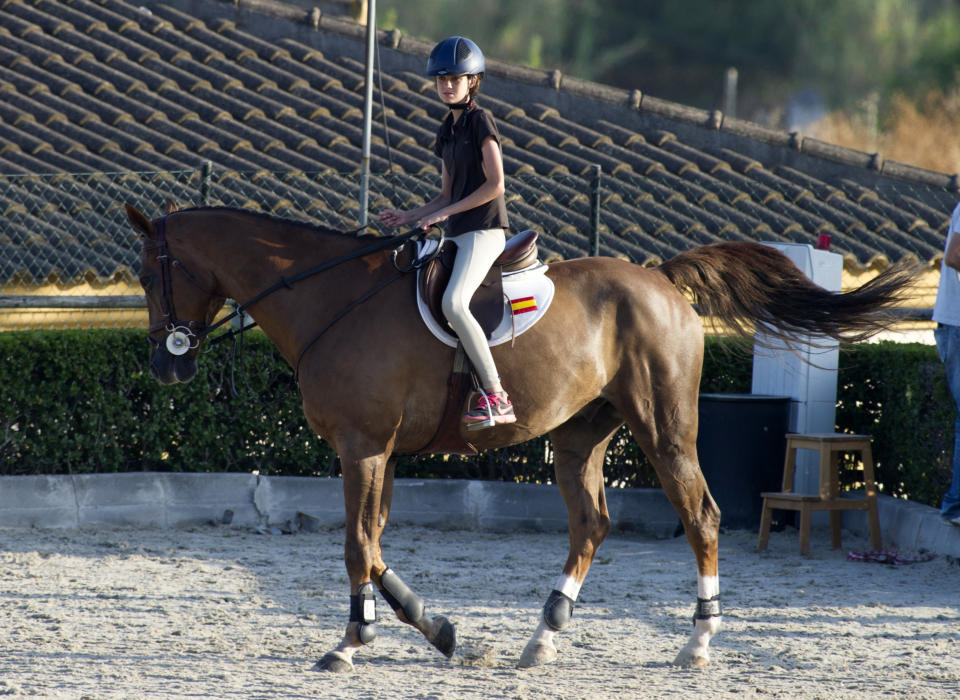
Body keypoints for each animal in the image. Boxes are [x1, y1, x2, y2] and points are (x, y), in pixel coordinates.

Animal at [124, 205, 912, 676]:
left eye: (147, 273)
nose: (166, 364)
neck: (330, 298)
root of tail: (660, 280)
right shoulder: (376, 453)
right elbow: (373, 543)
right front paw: (419, 630)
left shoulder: (362, 447)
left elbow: (357, 545)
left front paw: (367, 641)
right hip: (578, 436)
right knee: (591, 522)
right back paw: (543, 636)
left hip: (663, 428)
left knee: (703, 517)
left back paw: (696, 643)